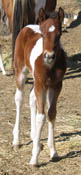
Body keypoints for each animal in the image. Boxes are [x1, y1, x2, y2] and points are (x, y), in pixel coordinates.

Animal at [13, 7, 66, 165]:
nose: (49, 56)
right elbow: (41, 116)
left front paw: (53, 151)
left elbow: (51, 113)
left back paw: (34, 135)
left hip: (36, 82)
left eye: (59, 34)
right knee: (19, 99)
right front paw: (34, 157)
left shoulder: (56, 85)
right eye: (42, 35)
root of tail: (27, 26)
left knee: (31, 99)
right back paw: (16, 140)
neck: (50, 67)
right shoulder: (41, 85)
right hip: (21, 72)